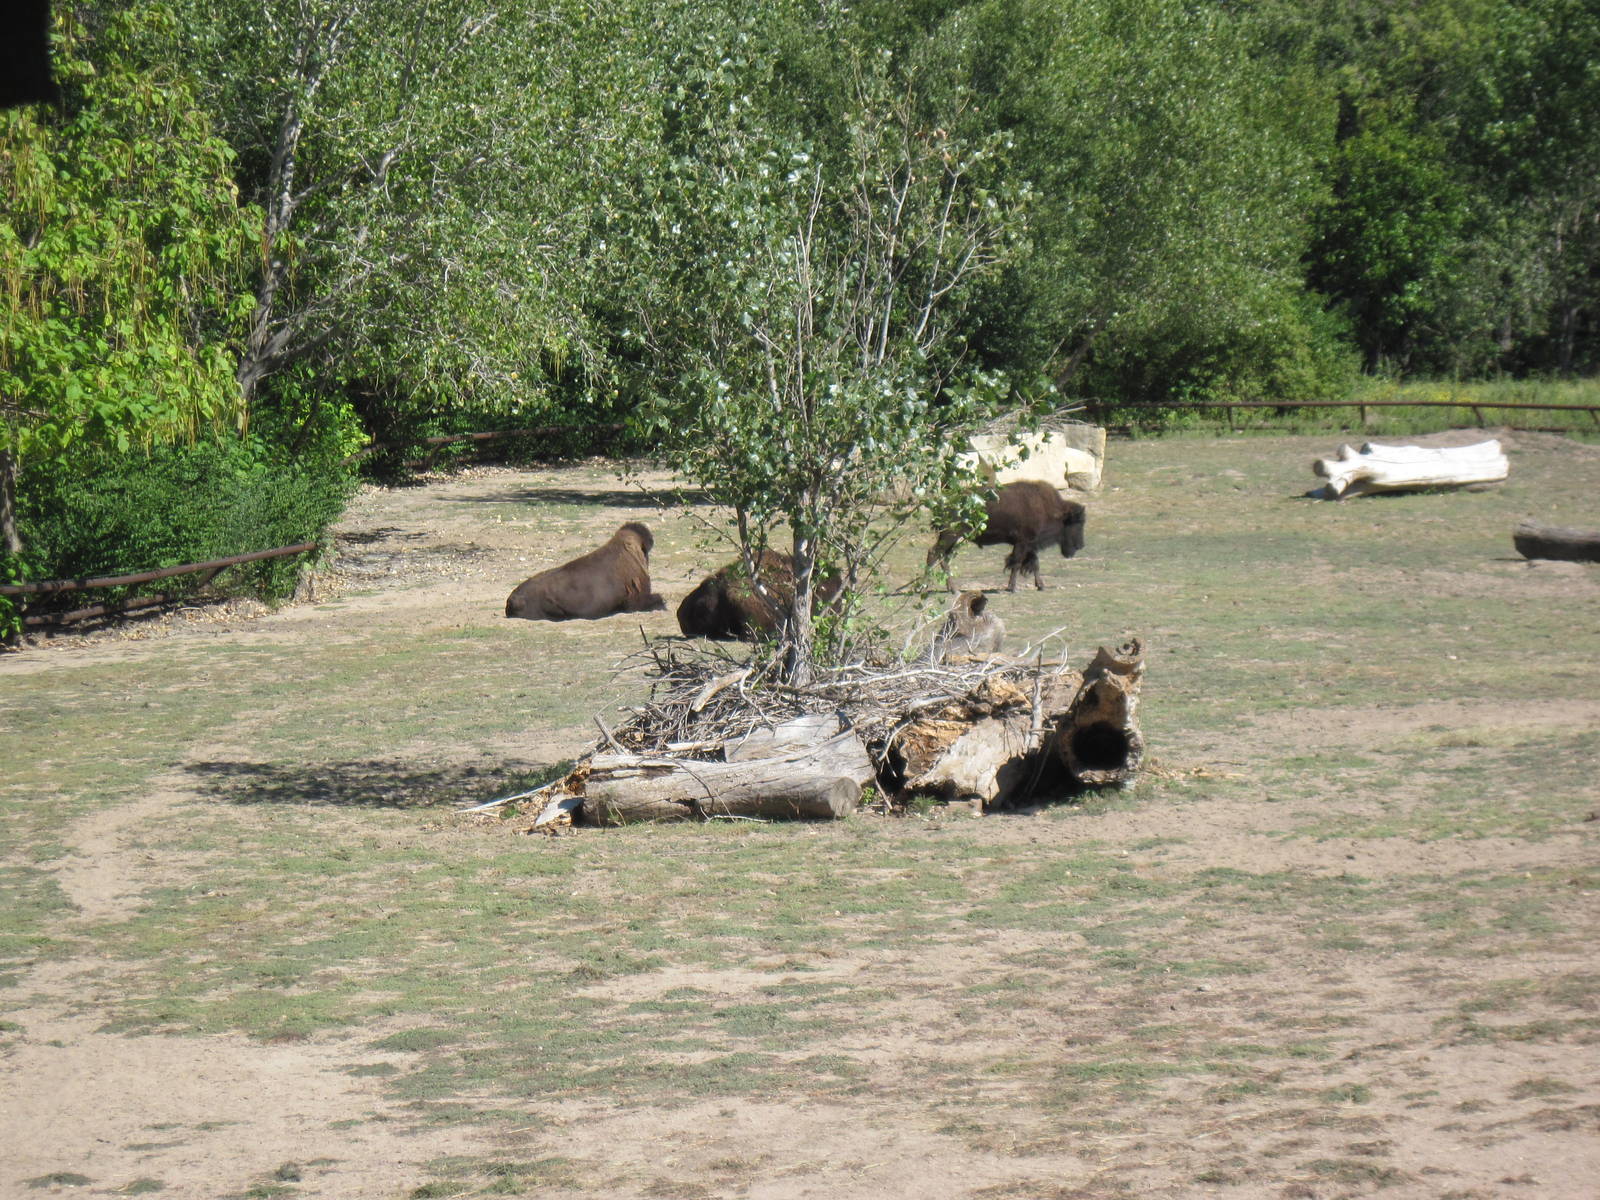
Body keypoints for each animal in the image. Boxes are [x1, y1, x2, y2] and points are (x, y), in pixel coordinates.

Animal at [928, 480, 1085, 592]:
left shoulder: (1029, 545)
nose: (1080, 545)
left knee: (943, 558)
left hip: (953, 539)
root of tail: (943, 503)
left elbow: (1034, 563)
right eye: (1077, 522)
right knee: (934, 554)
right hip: (950, 536)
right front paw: (1013, 588)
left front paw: (1040, 586)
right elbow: (1016, 563)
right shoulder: (1022, 543)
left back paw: (951, 589)